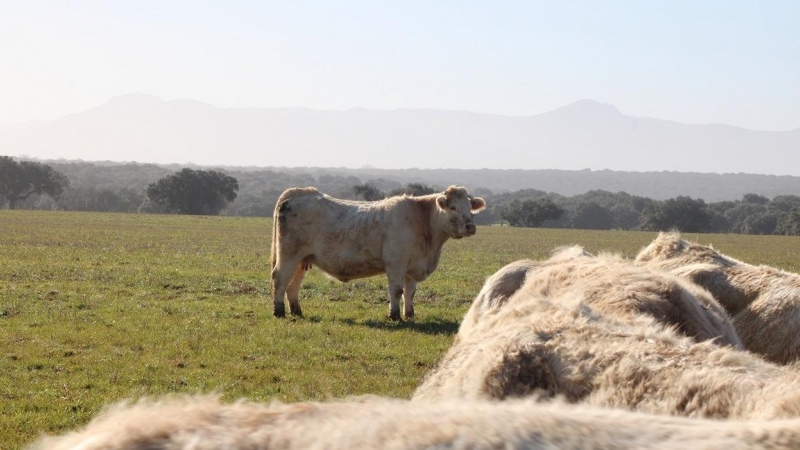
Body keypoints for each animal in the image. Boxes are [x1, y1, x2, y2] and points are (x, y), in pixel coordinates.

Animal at [268, 185, 484, 320]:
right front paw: (395, 316)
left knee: (292, 285)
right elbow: (396, 290)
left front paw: (409, 314)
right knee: (280, 279)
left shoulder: (412, 267)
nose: (470, 226)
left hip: (302, 259)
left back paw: (296, 311)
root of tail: (298, 192)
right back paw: (279, 312)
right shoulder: (396, 263)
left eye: (469, 208)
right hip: (288, 254)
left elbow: (410, 292)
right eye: (453, 207)